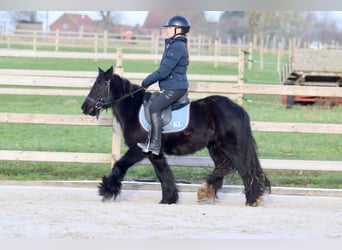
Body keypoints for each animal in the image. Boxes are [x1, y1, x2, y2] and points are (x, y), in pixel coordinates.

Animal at [81, 66, 270, 205]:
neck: (133, 109)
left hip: (232, 147)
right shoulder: (155, 153)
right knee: (223, 167)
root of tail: (238, 109)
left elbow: (120, 165)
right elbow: (164, 174)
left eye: (99, 85)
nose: (85, 108)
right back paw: (206, 192)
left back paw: (253, 199)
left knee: (245, 170)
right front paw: (168, 199)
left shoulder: (138, 149)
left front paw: (106, 190)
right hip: (216, 148)